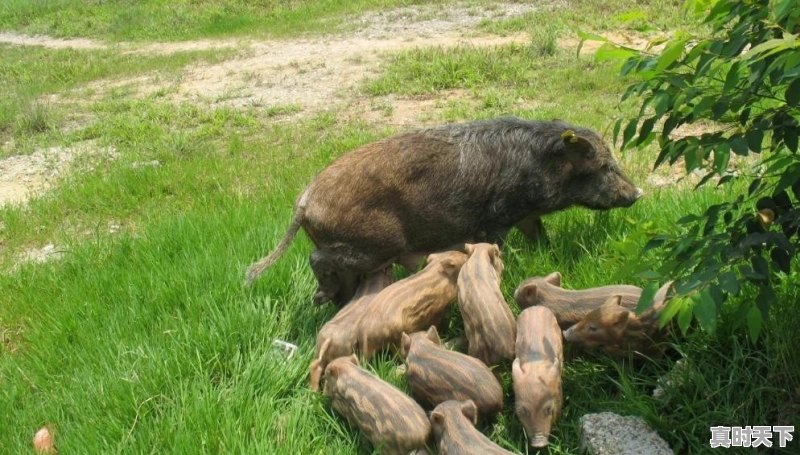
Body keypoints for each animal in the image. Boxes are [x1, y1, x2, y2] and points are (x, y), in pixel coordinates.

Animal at [244, 116, 644, 306]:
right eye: (605, 165)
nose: (638, 193)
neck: (537, 168)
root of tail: (304, 200)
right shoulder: (496, 217)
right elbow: (495, 244)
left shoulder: (526, 215)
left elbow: (539, 233)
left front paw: (544, 252)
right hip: (373, 243)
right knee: (317, 258)